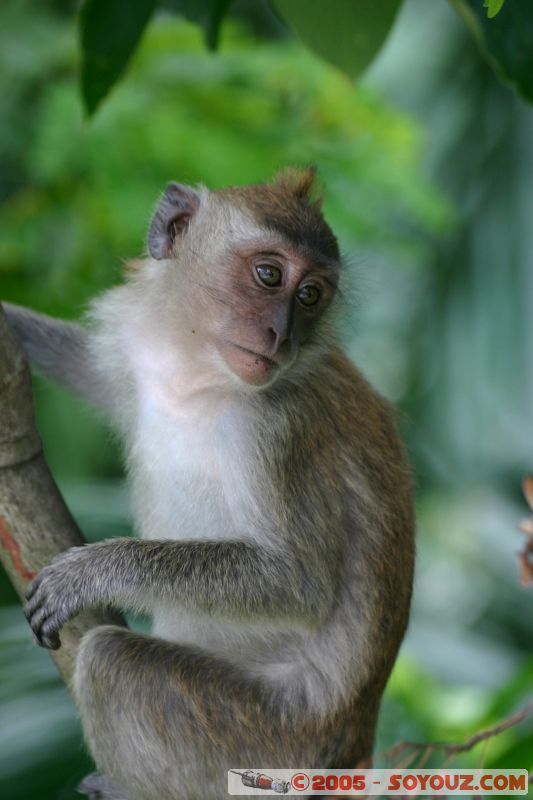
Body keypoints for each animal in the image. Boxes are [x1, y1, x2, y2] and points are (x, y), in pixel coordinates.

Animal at [3, 168, 415, 800]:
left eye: (310, 296)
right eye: (269, 275)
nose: (280, 336)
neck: (199, 373)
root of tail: (350, 753)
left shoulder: (279, 431)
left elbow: (297, 583)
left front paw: (89, 572)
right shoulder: (136, 352)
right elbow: (84, 368)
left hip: (260, 742)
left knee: (109, 660)